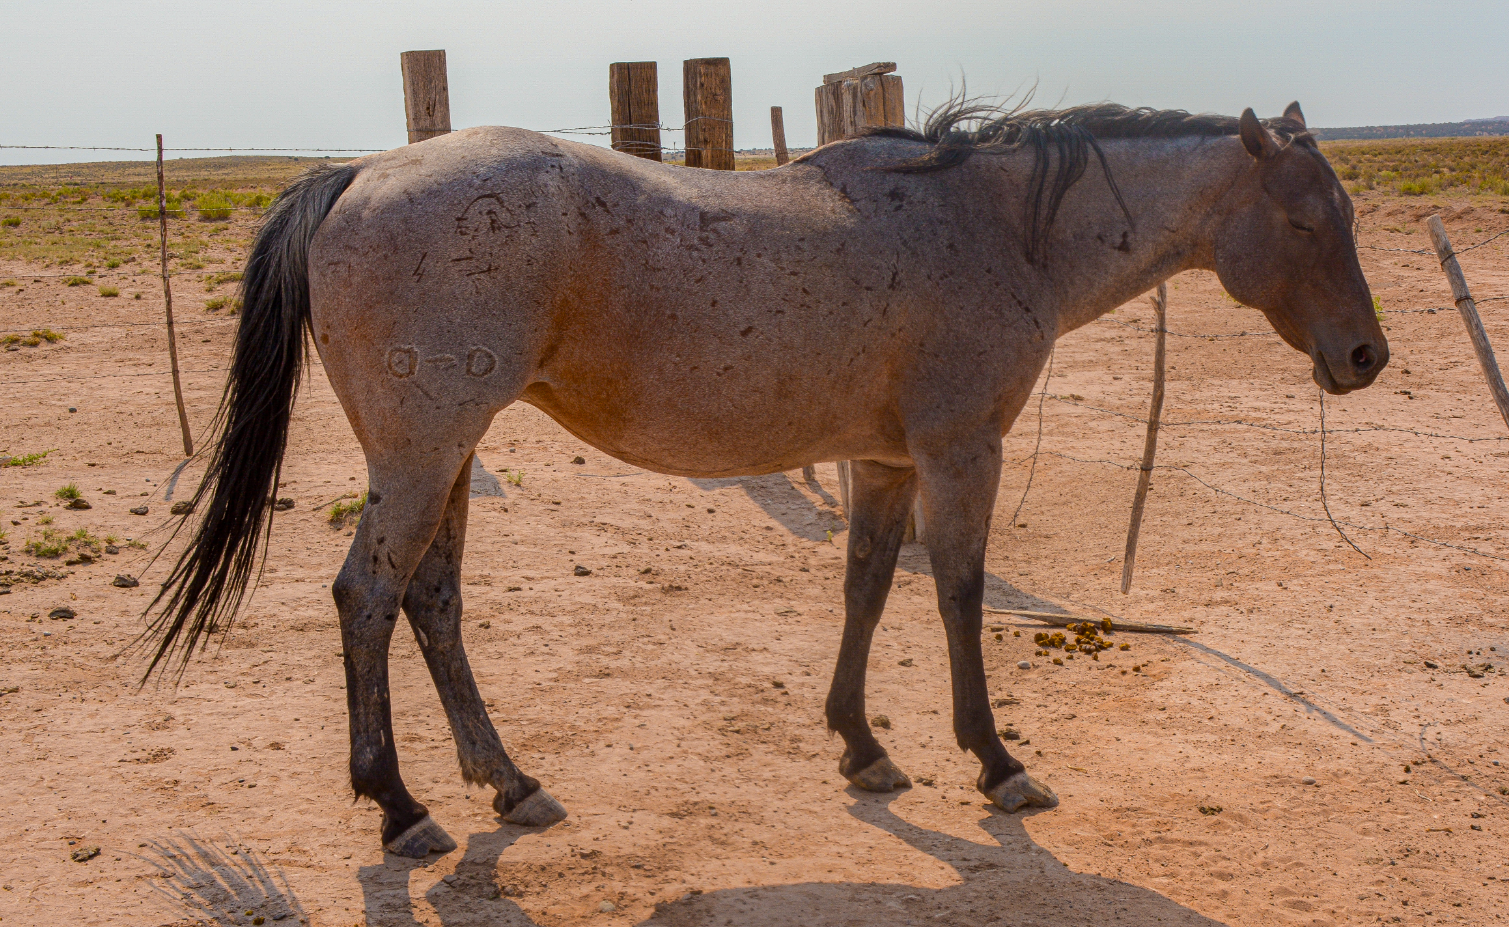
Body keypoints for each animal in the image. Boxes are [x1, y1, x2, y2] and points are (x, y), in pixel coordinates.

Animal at [143, 99, 1386, 857]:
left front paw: (862, 746)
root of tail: (360, 174)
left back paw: (508, 782)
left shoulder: (884, 460)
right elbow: (958, 595)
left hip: (447, 456)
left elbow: (867, 587)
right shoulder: (959, 450)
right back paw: (399, 807)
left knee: (431, 602)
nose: (1367, 356)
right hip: (420, 455)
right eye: (1304, 219)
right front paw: (994, 762)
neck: (989, 223)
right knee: (368, 597)